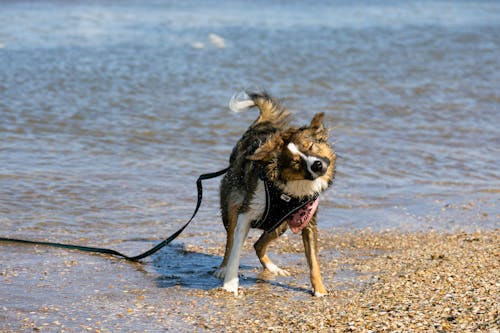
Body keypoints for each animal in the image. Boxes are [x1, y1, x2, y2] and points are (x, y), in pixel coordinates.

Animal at [212, 91, 336, 296]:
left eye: (311, 146)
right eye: (295, 162)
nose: (317, 165)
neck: (291, 189)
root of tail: (258, 127)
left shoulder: (307, 219)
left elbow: (313, 260)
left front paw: (320, 290)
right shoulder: (247, 212)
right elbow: (236, 249)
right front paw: (230, 284)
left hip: (281, 223)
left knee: (258, 244)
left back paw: (273, 268)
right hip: (232, 203)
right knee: (230, 240)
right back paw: (222, 268)